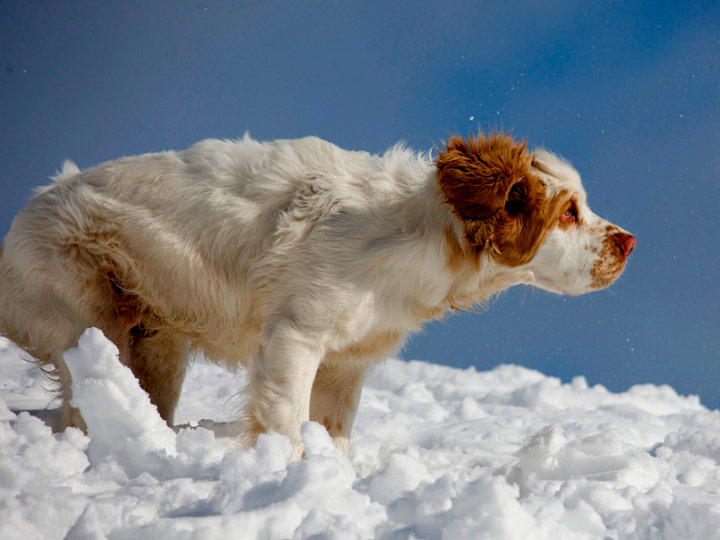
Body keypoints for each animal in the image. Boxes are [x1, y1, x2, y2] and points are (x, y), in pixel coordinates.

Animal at [0, 131, 635, 458]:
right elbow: (285, 423)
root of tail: (30, 208)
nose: (629, 242)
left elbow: (334, 435)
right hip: (87, 324)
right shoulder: (295, 338)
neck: (420, 235)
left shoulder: (346, 366)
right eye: (569, 212)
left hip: (159, 347)